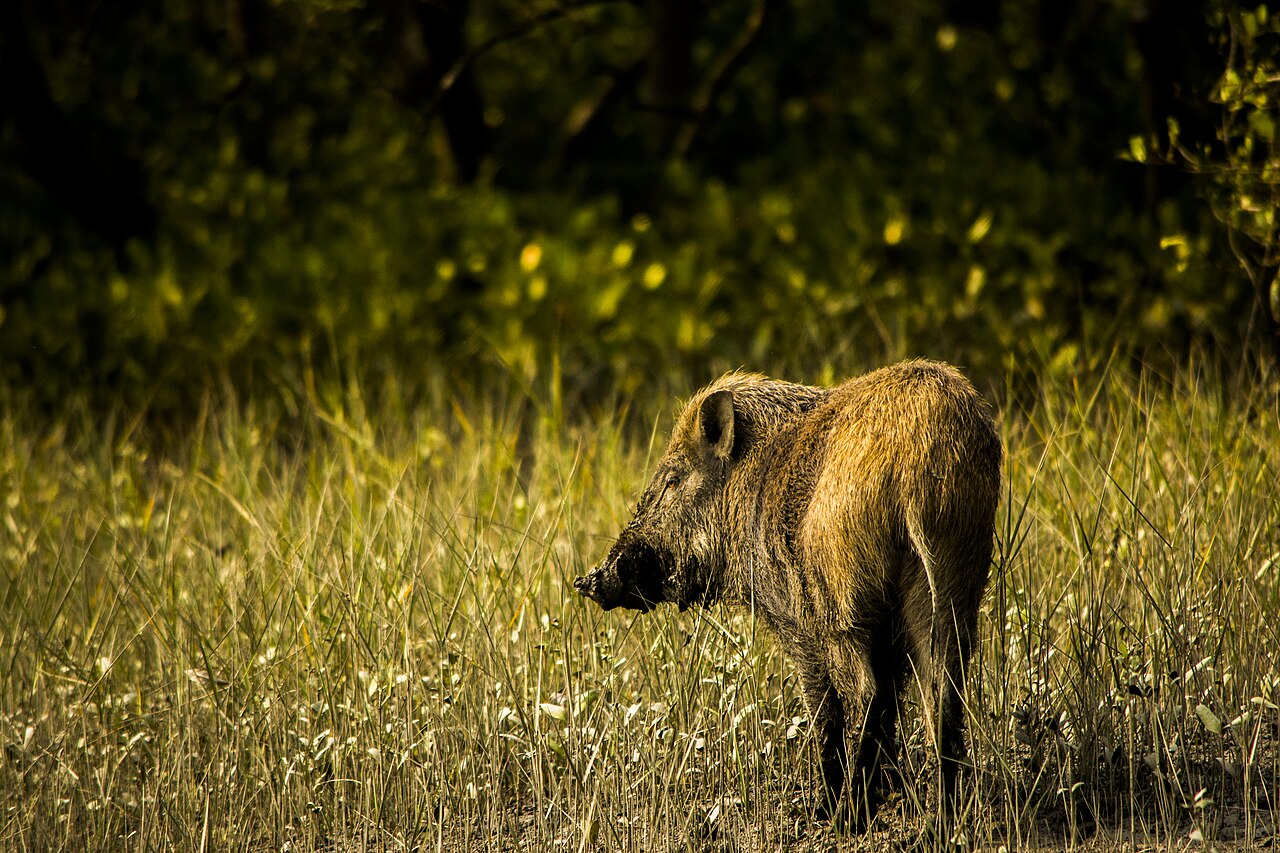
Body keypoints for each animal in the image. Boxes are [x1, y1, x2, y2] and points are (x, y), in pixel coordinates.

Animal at [574, 360, 1002, 829]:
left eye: (673, 479)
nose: (589, 580)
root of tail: (918, 463)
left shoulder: (794, 621)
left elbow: (824, 708)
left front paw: (825, 809)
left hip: (841, 597)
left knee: (865, 693)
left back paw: (844, 818)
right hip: (955, 577)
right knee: (943, 689)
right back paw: (940, 820)